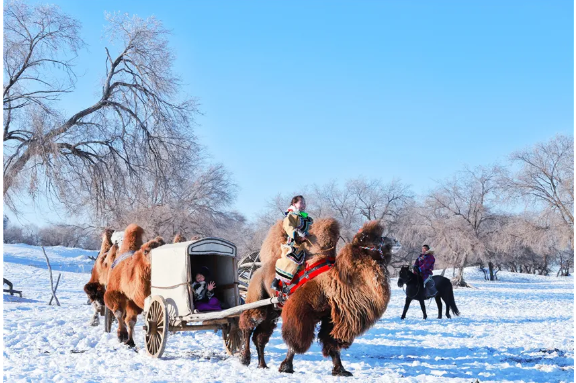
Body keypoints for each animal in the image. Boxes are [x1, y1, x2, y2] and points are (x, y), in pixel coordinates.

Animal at [240, 219, 340, 372]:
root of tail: (255, 273)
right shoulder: (300, 312)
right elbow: (295, 338)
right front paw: (286, 367)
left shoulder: (327, 316)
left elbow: (331, 340)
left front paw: (341, 369)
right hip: (257, 299)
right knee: (249, 324)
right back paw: (244, 359)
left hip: (272, 311)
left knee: (260, 336)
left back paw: (262, 364)